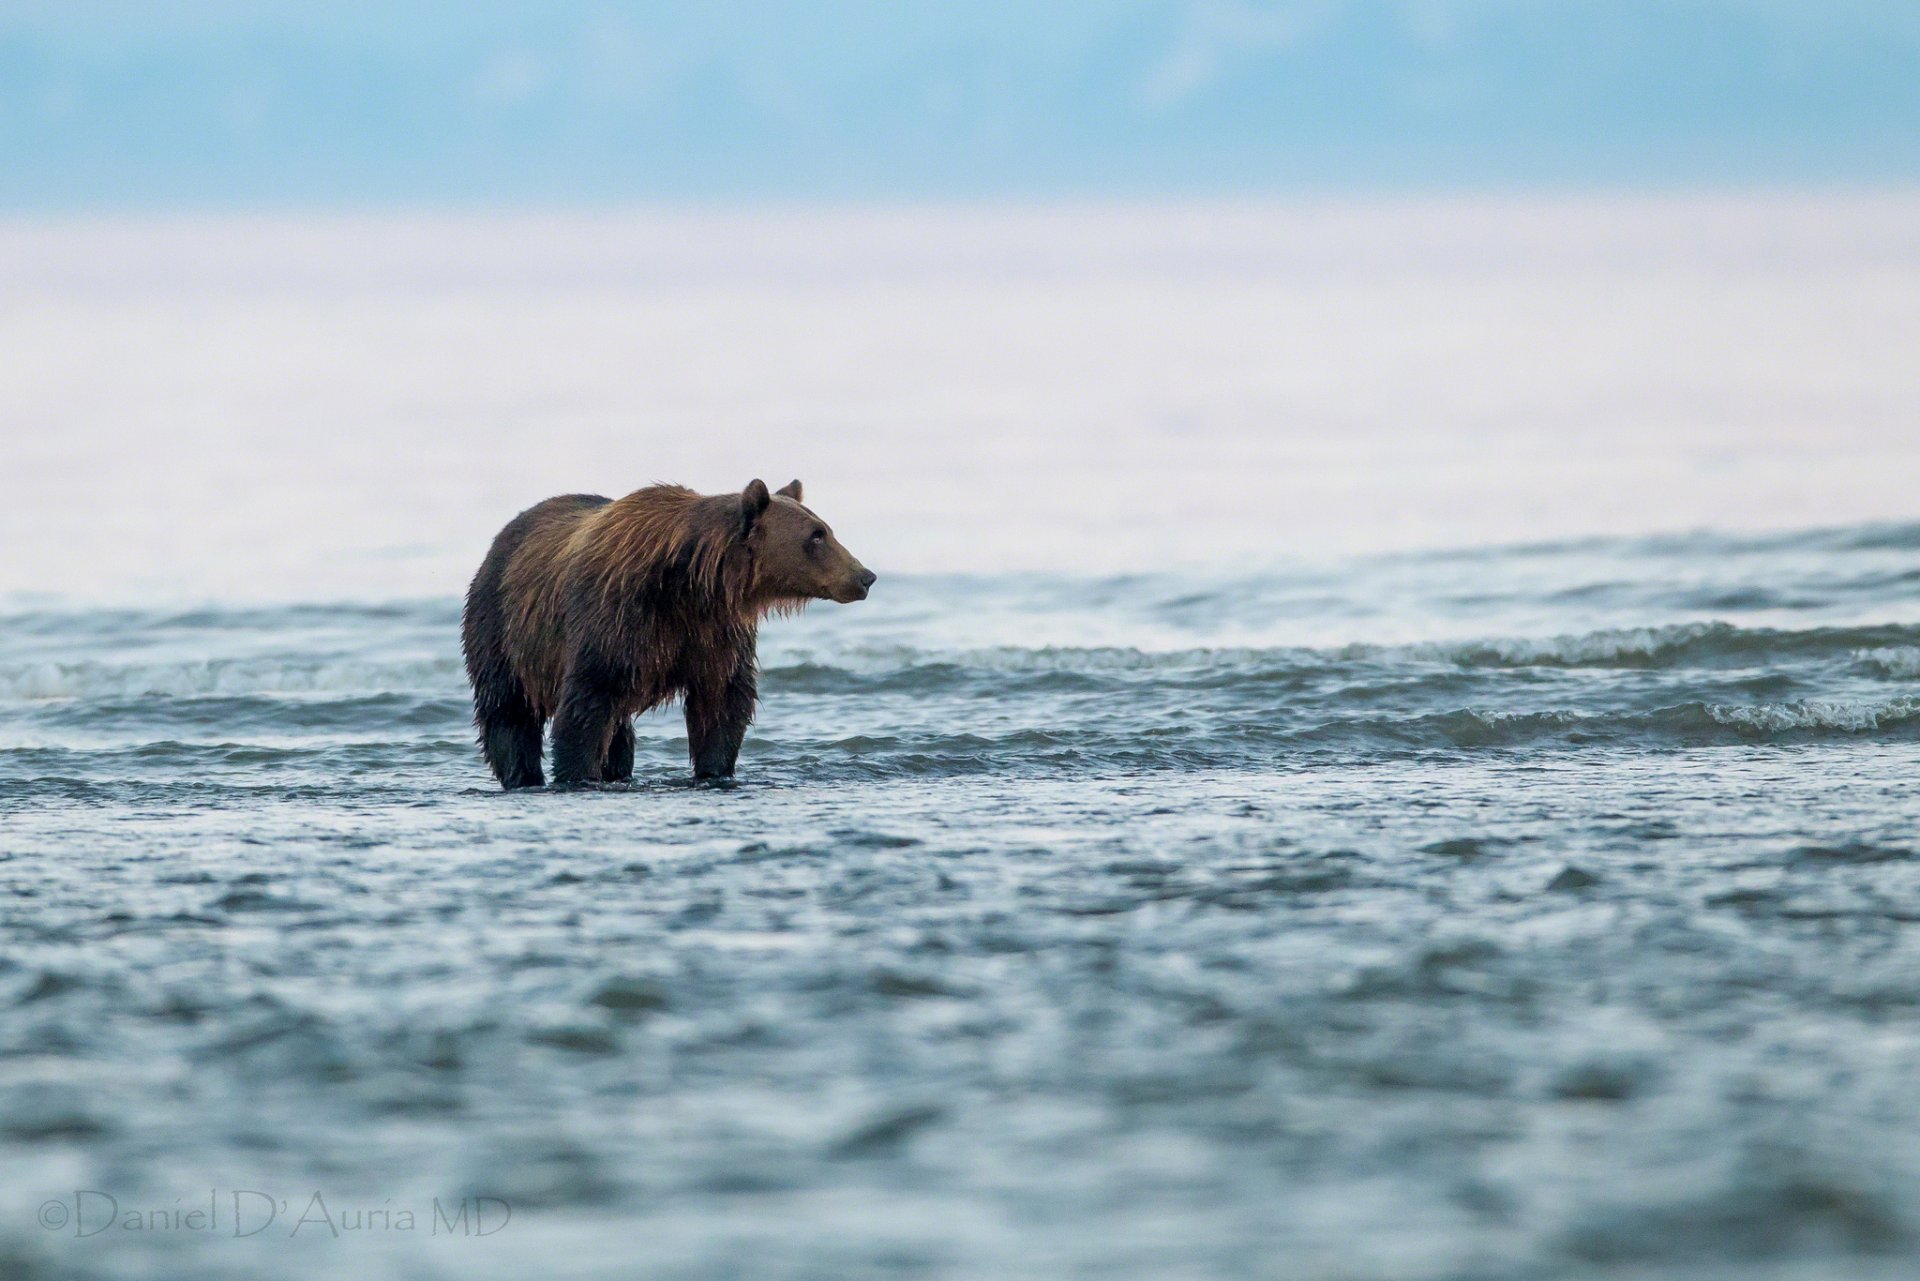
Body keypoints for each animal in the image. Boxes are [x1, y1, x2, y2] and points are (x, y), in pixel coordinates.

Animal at [461, 478, 874, 790]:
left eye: (826, 529)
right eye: (817, 536)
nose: (865, 575)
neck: (690, 581)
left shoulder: (714, 631)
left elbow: (722, 702)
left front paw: (714, 770)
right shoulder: (616, 618)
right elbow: (586, 704)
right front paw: (577, 773)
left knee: (619, 731)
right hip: (499, 622)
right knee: (507, 710)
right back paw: (522, 774)